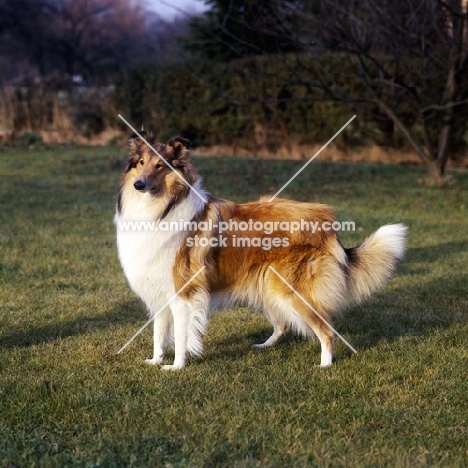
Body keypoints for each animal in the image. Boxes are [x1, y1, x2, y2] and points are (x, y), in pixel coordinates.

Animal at [115, 133, 408, 372]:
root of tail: (328, 222)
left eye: (160, 165)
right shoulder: (160, 292)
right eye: (140, 162)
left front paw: (176, 367)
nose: (138, 185)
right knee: (285, 324)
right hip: (269, 285)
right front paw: (155, 361)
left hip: (294, 291)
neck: (162, 207)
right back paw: (265, 346)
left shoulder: (184, 291)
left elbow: (181, 334)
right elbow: (159, 334)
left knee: (327, 332)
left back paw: (324, 365)